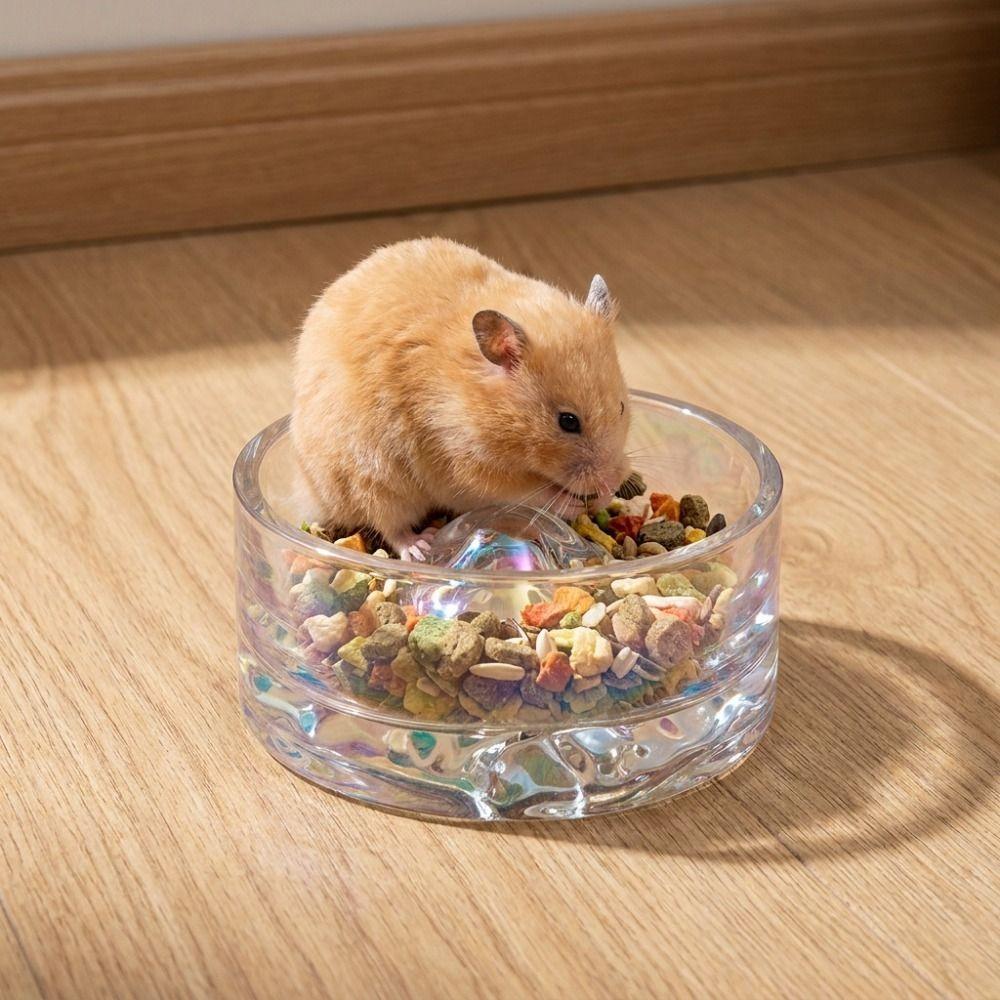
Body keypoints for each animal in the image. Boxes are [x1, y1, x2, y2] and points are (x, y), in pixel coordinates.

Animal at [291, 237, 632, 561]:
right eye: (568, 422)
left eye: (621, 407)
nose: (611, 482)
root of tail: (311, 491)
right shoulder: (464, 467)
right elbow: (528, 493)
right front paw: (575, 502)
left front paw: (605, 495)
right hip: (371, 478)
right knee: (389, 524)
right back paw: (421, 545)